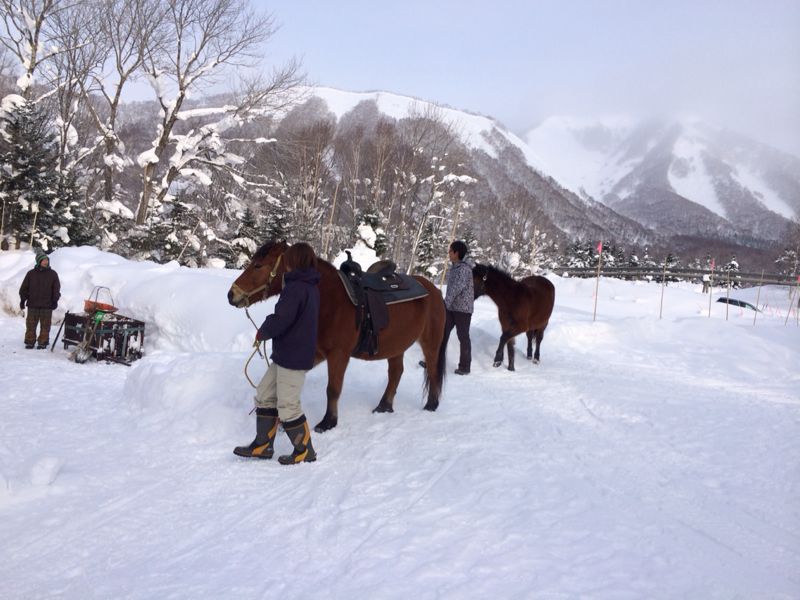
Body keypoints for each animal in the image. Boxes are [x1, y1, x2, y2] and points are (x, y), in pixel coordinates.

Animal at [228, 241, 446, 434]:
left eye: (258, 265)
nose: (231, 295)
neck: (330, 300)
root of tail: (434, 291)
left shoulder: (338, 355)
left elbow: (332, 389)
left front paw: (328, 422)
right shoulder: (316, 354)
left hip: (430, 344)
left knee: (432, 370)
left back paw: (431, 404)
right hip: (396, 346)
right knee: (396, 373)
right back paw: (384, 406)